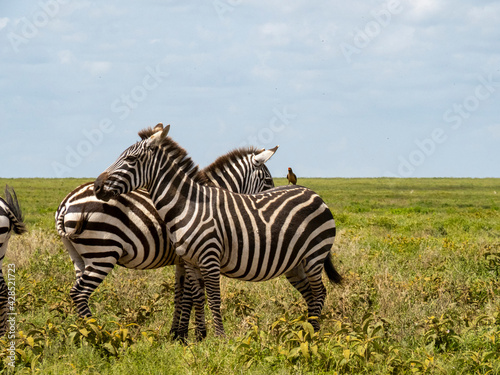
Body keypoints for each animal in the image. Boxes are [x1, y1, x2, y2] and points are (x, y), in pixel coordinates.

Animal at [55, 125, 278, 340]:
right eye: (268, 179)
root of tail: (66, 202)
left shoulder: (183, 259)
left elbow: (179, 295)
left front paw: (176, 332)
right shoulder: (191, 256)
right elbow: (190, 295)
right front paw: (188, 335)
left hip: (80, 257)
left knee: (77, 292)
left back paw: (83, 333)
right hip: (103, 253)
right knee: (80, 293)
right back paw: (95, 334)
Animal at [94, 124, 342, 338]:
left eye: (130, 159)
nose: (97, 186)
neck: (187, 205)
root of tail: (313, 193)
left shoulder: (209, 258)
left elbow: (212, 298)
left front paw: (217, 337)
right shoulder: (190, 262)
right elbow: (196, 297)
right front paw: (197, 337)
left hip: (314, 255)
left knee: (319, 292)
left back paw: (313, 334)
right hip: (295, 263)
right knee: (311, 293)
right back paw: (307, 331)